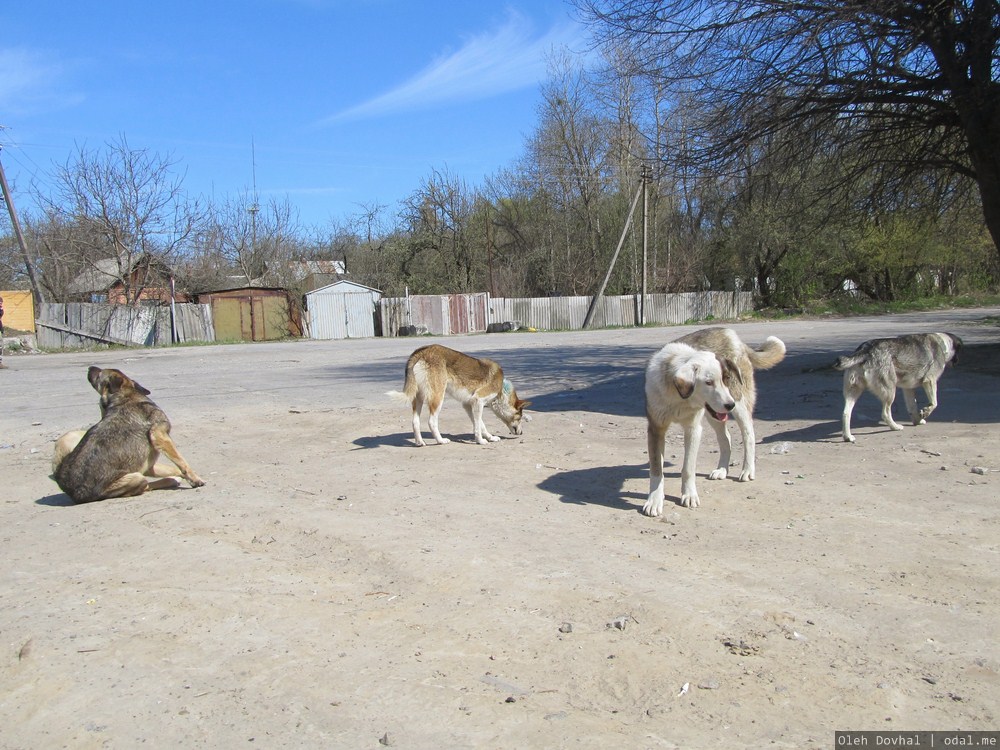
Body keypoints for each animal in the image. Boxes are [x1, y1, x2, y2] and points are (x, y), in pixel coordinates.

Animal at [51, 366, 205, 506]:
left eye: (100, 372)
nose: (90, 367)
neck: (126, 395)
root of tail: (76, 495)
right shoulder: (160, 435)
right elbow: (182, 462)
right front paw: (195, 478)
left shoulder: (148, 463)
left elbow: (175, 467)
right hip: (135, 477)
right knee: (145, 487)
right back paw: (169, 481)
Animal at [388, 346, 532, 446]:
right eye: (519, 417)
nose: (521, 433)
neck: (501, 388)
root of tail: (422, 351)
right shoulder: (478, 401)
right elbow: (478, 426)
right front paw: (481, 441)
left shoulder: (469, 405)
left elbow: (480, 424)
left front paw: (490, 437)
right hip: (437, 397)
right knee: (432, 421)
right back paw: (440, 440)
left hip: (418, 398)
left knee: (415, 421)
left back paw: (419, 442)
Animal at [644, 328, 784, 516]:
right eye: (708, 382)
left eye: (726, 379)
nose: (729, 405)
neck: (680, 397)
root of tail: (729, 332)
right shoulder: (656, 429)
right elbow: (656, 470)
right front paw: (654, 500)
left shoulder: (693, 429)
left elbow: (688, 468)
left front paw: (689, 495)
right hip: (715, 414)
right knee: (726, 438)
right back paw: (722, 470)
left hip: (738, 402)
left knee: (748, 435)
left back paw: (747, 470)